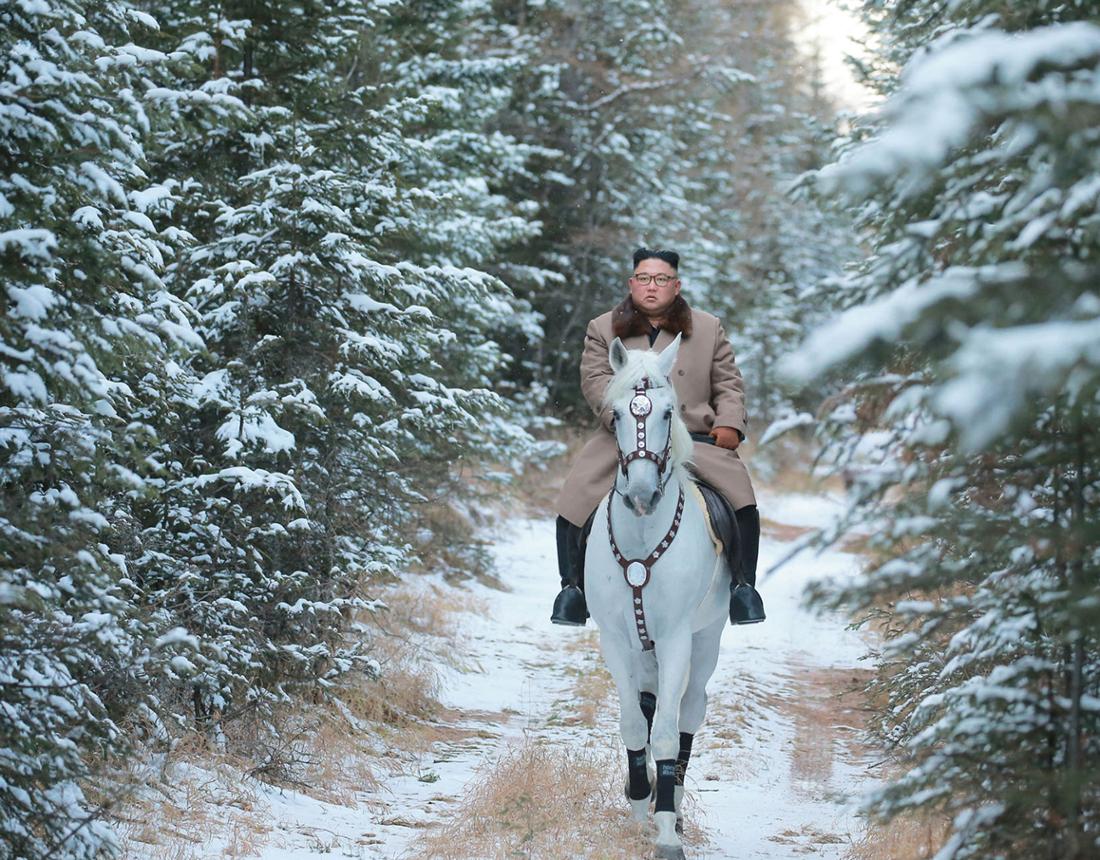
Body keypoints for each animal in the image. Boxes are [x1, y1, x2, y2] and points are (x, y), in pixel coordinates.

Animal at [585, 334, 730, 860]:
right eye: (616, 416)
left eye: (669, 413)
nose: (642, 494)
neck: (643, 537)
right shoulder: (614, 640)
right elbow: (633, 724)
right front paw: (637, 806)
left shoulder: (674, 640)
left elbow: (667, 733)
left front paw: (666, 829)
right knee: (648, 707)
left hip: (705, 641)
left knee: (688, 711)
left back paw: (676, 804)